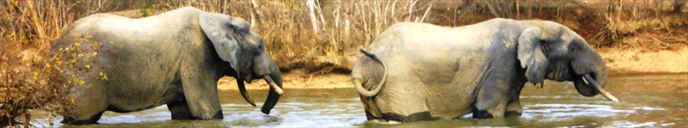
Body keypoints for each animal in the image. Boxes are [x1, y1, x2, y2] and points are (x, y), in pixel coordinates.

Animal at [49, 6, 284, 124]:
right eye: (260, 47)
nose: (263, 111)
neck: (217, 18)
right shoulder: (196, 55)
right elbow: (208, 111)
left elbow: (183, 111)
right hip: (83, 76)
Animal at [350, 17, 620, 122]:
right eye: (573, 48)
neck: (528, 24)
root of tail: (359, 68)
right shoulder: (502, 65)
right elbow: (487, 111)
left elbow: (513, 111)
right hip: (399, 84)